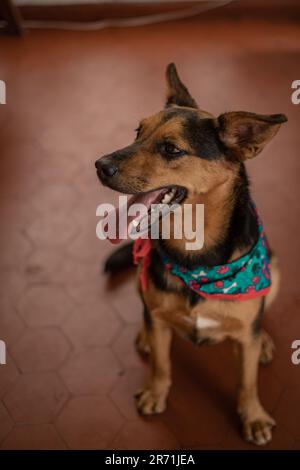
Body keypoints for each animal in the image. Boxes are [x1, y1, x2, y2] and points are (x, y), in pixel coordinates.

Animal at [95, 64, 288, 446]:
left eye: (171, 149)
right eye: (137, 132)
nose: (99, 165)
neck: (195, 256)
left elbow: (247, 380)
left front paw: (254, 416)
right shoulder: (158, 314)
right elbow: (161, 363)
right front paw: (156, 391)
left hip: (274, 272)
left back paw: (264, 342)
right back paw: (145, 335)